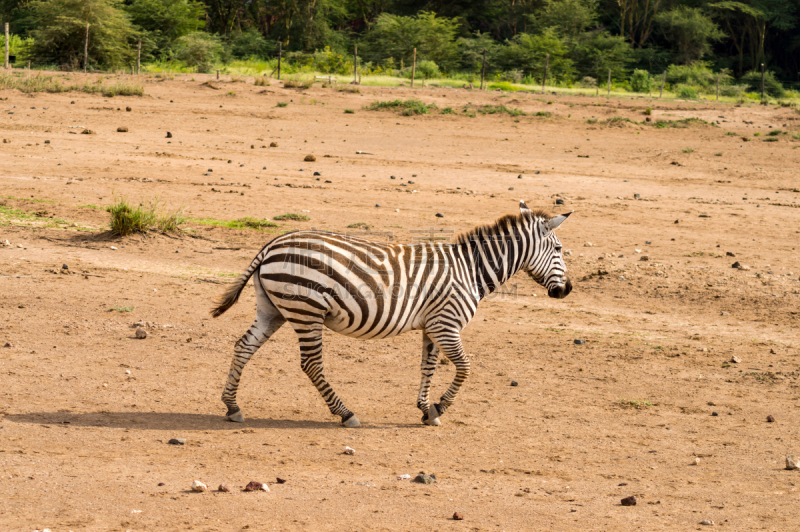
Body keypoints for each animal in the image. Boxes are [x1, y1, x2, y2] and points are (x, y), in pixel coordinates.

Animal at [209, 201, 572, 428]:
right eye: (558, 250)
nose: (566, 290)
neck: (470, 270)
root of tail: (272, 244)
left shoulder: (432, 326)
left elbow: (428, 367)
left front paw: (427, 410)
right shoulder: (447, 324)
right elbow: (465, 368)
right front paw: (440, 406)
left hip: (274, 309)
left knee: (243, 346)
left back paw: (232, 406)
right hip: (306, 310)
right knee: (311, 364)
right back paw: (346, 414)